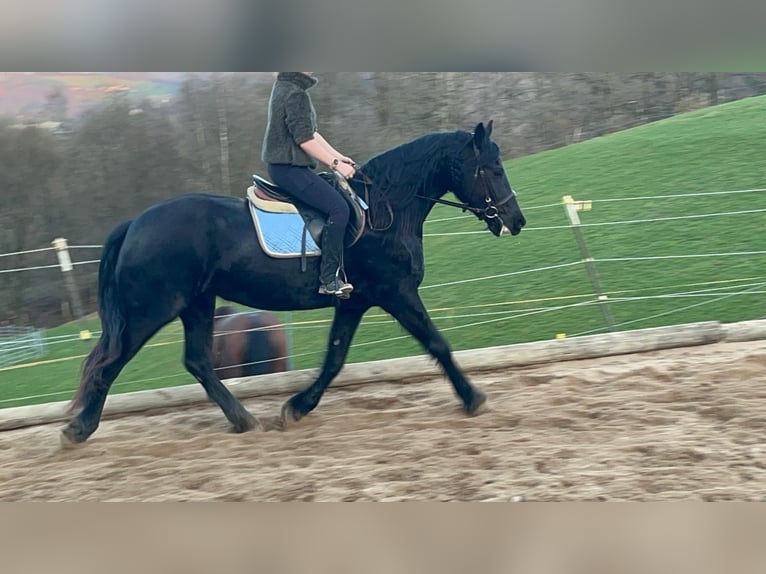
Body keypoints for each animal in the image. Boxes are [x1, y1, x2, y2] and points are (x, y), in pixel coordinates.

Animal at [62, 121, 527, 444]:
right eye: (492, 169)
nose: (516, 220)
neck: (386, 210)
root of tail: (135, 224)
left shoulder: (354, 302)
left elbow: (335, 358)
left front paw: (297, 408)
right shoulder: (396, 293)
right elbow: (437, 344)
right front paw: (473, 398)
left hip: (197, 303)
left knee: (197, 361)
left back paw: (243, 420)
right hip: (152, 309)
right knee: (109, 364)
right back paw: (78, 430)